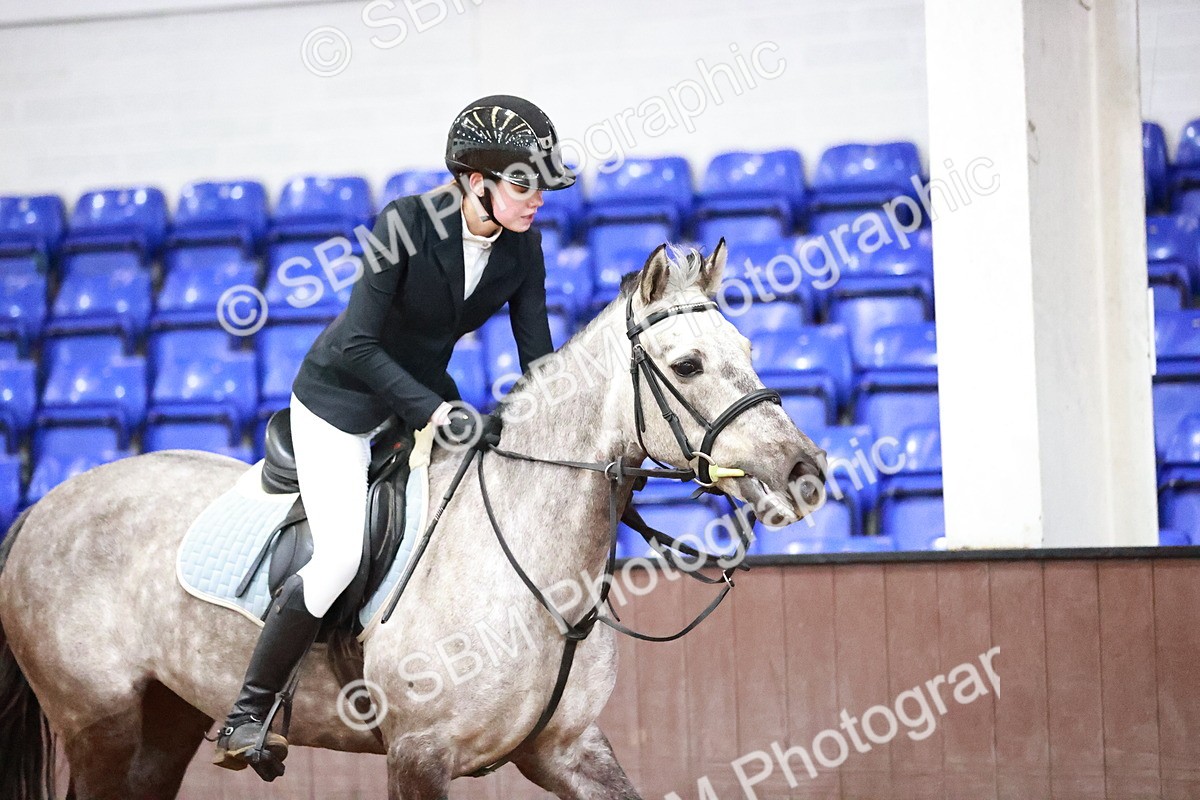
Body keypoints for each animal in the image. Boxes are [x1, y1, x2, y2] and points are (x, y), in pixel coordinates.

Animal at [0, 240, 825, 800]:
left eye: (750, 348)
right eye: (687, 365)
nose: (804, 473)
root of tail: (46, 503)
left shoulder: (566, 749)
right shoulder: (419, 753)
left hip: (163, 719)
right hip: (99, 719)